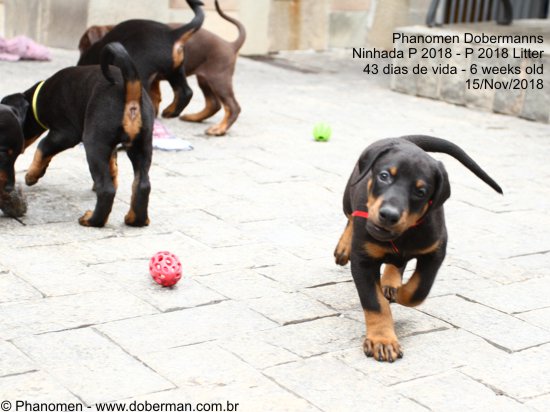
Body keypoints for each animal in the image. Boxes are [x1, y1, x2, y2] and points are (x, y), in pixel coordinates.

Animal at [1, 42, 154, 227]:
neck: (39, 97)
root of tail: (130, 93)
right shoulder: (109, 145)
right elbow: (113, 162)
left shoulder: (65, 133)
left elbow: (43, 147)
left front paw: (32, 175)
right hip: (142, 144)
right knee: (142, 185)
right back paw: (136, 219)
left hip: (94, 143)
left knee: (107, 190)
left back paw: (92, 220)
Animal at [78, 0, 245, 136]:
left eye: (82, 46)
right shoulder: (155, 79)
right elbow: (156, 97)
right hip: (180, 72)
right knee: (189, 93)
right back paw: (176, 113)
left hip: (215, 77)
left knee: (232, 106)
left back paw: (218, 129)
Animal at [334, 135, 502, 362]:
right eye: (384, 176)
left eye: (421, 192)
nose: (389, 215)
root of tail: (401, 138)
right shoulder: (363, 259)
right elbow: (374, 302)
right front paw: (382, 340)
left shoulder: (435, 251)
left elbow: (418, 290)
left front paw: (400, 293)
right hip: (349, 194)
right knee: (350, 216)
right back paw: (343, 248)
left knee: (397, 264)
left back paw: (391, 282)